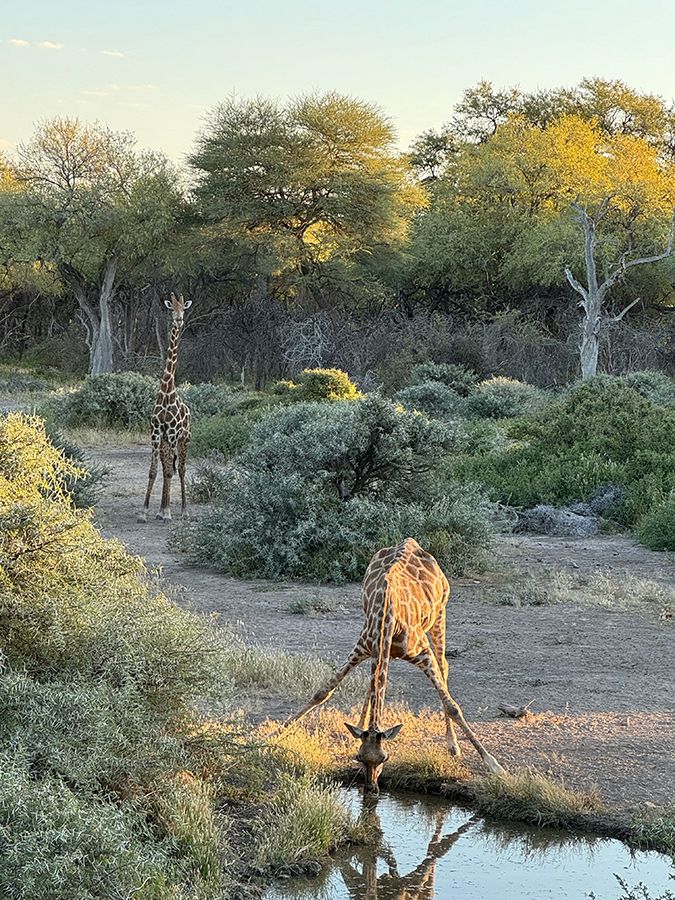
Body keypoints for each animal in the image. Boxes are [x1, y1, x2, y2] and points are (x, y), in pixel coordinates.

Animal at [283, 537, 505, 793]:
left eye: (385, 758)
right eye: (359, 757)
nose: (371, 788)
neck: (388, 620)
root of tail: (412, 541)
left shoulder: (422, 652)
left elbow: (452, 706)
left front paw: (494, 765)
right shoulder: (363, 648)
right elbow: (322, 692)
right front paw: (274, 735)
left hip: (440, 615)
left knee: (444, 667)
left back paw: (453, 745)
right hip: (379, 648)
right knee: (373, 684)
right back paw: (360, 723)